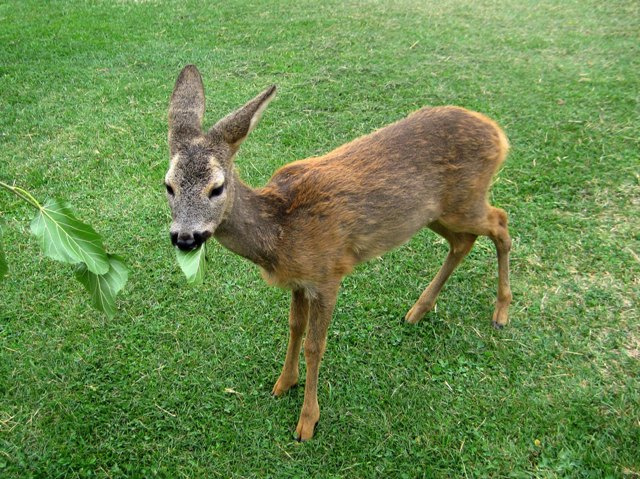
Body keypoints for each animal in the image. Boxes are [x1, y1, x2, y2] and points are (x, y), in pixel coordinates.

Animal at [165, 65, 512, 441]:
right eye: (168, 185)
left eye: (217, 188)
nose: (186, 238)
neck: (281, 231)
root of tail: (499, 134)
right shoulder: (299, 281)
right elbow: (294, 328)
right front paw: (284, 383)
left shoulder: (328, 273)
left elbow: (315, 346)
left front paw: (307, 421)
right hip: (433, 213)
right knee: (463, 241)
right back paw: (419, 310)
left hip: (465, 202)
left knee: (501, 223)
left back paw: (501, 312)